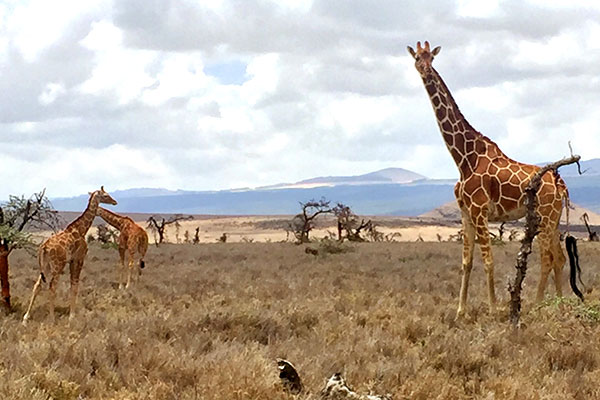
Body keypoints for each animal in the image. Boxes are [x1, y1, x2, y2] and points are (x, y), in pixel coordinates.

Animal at [23, 187, 118, 322]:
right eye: (105, 195)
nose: (115, 202)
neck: (82, 229)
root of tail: (44, 247)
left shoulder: (72, 261)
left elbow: (72, 284)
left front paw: (71, 314)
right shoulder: (78, 259)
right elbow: (75, 285)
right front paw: (72, 316)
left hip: (46, 266)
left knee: (37, 285)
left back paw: (25, 318)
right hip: (57, 265)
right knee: (52, 287)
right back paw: (52, 318)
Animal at [408, 42, 572, 318]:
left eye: (431, 58)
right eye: (417, 58)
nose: (425, 70)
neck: (464, 158)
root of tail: (560, 184)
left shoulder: (480, 211)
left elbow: (488, 261)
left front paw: (494, 309)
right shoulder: (466, 214)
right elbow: (467, 262)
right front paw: (460, 311)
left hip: (546, 217)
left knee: (549, 258)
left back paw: (541, 305)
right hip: (553, 218)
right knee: (557, 258)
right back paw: (557, 304)